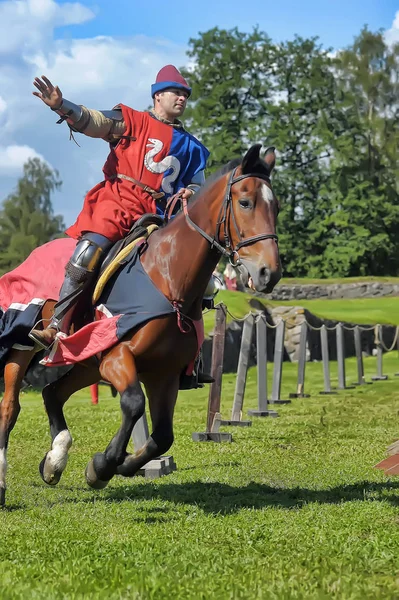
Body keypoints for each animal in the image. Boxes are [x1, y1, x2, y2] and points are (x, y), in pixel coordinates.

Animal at [0, 143, 282, 504]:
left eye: (276, 206)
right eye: (245, 202)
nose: (268, 273)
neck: (167, 278)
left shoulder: (164, 375)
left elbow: (162, 436)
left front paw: (118, 465)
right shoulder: (118, 359)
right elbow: (134, 404)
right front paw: (103, 465)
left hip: (87, 362)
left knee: (52, 393)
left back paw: (55, 460)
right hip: (25, 345)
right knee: (10, 407)